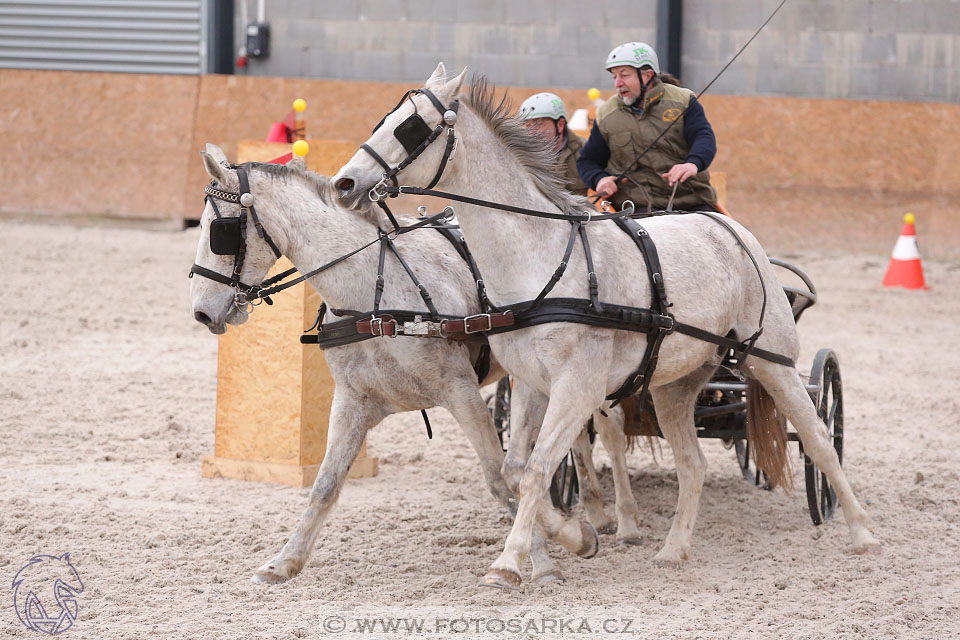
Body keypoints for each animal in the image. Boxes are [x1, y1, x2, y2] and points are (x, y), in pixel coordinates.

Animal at [189, 145, 636, 584]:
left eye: (219, 231)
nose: (201, 312)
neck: (373, 296)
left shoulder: (462, 393)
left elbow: (499, 478)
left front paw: (542, 556)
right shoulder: (354, 401)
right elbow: (325, 484)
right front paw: (285, 561)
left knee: (610, 431)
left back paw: (624, 521)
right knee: (576, 437)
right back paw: (593, 509)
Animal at [334, 62, 880, 588]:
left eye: (409, 127)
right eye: (383, 118)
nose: (343, 184)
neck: (542, 259)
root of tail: (730, 229)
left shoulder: (577, 386)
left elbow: (538, 469)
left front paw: (510, 563)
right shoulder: (532, 385)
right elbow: (517, 469)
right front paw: (574, 536)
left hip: (774, 363)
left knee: (819, 439)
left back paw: (862, 533)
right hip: (676, 385)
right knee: (693, 464)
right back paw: (674, 551)